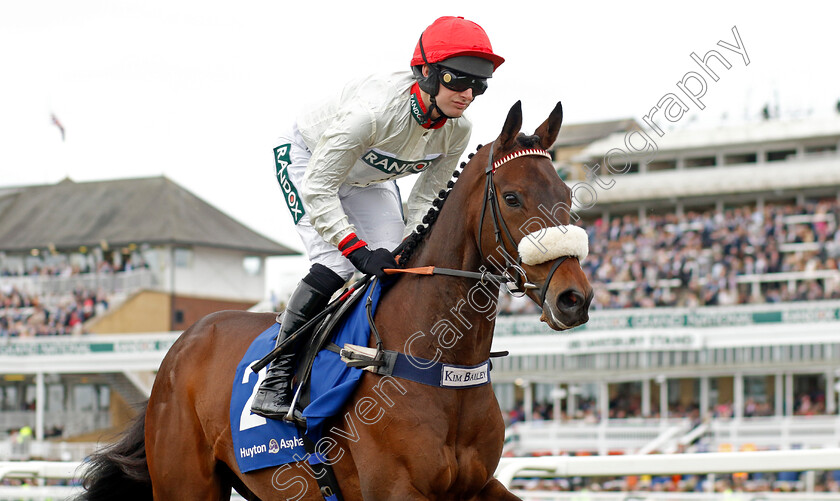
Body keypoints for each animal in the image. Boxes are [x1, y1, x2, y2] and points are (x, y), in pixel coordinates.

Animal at [79, 99, 592, 498]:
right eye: (512, 197)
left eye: (567, 194)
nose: (574, 298)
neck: (438, 363)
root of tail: (181, 345)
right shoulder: (396, 490)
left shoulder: (479, 485)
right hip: (185, 482)